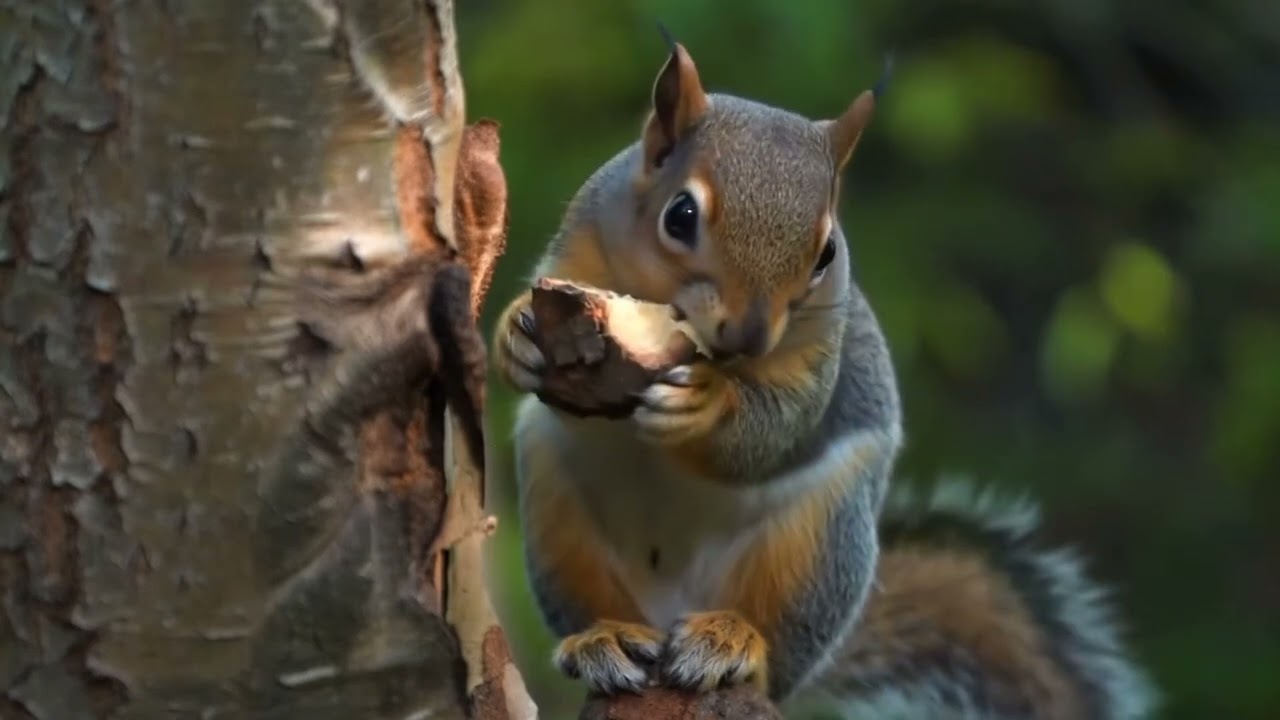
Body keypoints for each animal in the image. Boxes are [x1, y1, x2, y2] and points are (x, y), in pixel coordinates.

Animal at [491, 32, 1158, 720]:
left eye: (828, 253)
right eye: (679, 215)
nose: (747, 337)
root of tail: (674, 608)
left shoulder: (818, 359)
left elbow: (780, 427)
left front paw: (708, 404)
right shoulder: (581, 243)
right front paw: (517, 335)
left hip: (816, 543)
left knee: (774, 647)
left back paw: (731, 640)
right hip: (558, 516)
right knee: (597, 605)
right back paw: (606, 639)